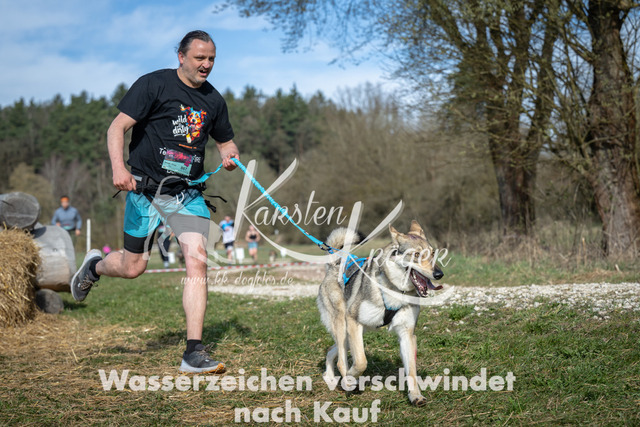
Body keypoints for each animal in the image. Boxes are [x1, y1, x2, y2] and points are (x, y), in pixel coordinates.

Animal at [317, 220, 445, 406]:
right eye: (416, 255)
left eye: (433, 253)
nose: (439, 274)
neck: (395, 290)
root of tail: (333, 265)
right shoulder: (353, 321)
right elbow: (361, 362)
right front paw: (351, 378)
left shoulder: (407, 333)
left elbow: (411, 371)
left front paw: (415, 396)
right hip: (343, 326)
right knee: (341, 360)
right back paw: (346, 381)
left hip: (349, 335)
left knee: (331, 351)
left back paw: (330, 377)